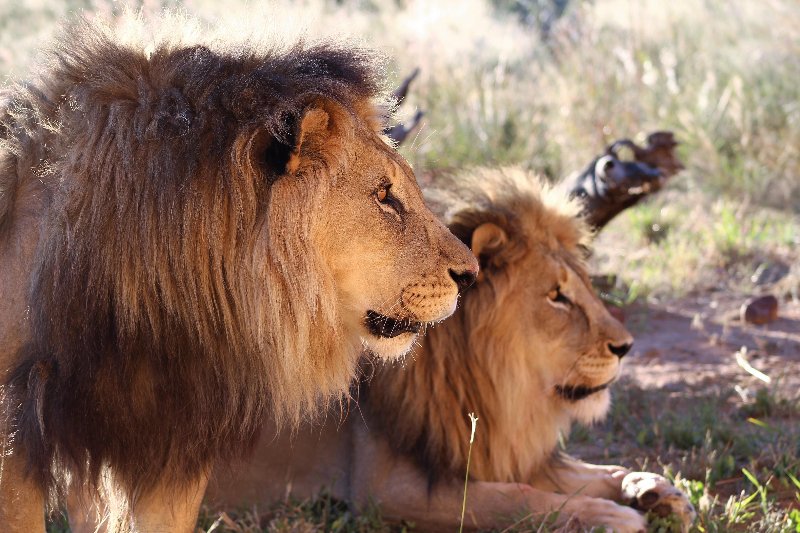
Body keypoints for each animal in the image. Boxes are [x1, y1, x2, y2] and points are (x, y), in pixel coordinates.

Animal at [205, 167, 692, 532]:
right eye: (557, 297)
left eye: (586, 288)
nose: (627, 347)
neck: (498, 391)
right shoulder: (385, 489)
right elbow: (518, 497)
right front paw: (609, 516)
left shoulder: (498, 450)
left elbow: (585, 472)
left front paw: (653, 489)